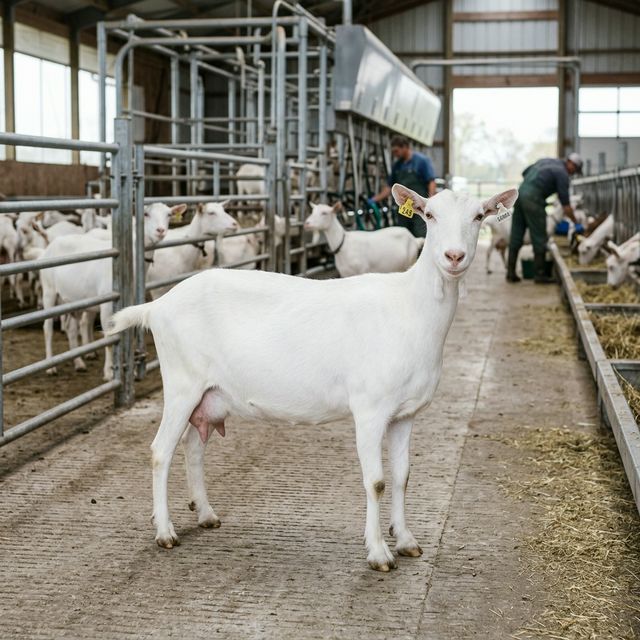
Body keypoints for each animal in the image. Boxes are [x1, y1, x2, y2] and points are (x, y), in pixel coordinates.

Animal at [107, 184, 518, 571]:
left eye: (479, 216)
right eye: (429, 215)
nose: (454, 256)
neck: (411, 309)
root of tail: (158, 305)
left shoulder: (405, 413)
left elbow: (402, 475)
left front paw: (405, 540)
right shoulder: (370, 409)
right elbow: (377, 481)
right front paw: (379, 553)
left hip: (209, 393)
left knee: (193, 446)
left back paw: (206, 513)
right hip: (182, 383)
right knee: (161, 451)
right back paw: (165, 532)